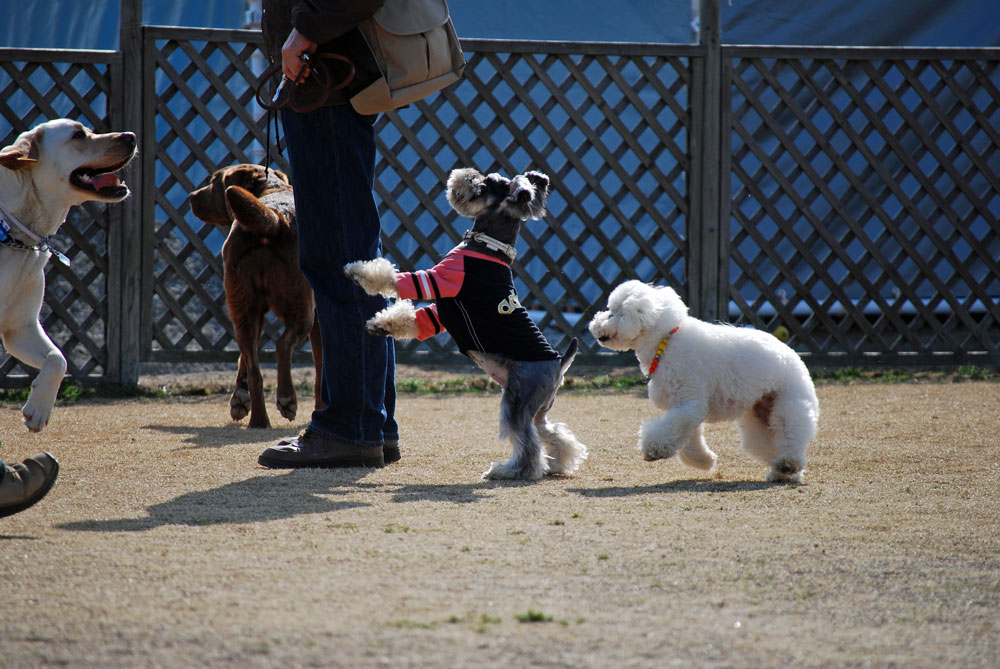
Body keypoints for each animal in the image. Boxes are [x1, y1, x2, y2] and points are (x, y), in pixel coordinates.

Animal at [0, 119, 136, 432]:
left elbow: (58, 359)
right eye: (78, 135)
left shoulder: (20, 328)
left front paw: (39, 408)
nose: (132, 136)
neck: (14, 236)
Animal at [188, 164, 323, 429]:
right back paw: (286, 399)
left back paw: (259, 421)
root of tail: (275, 217)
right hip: (301, 308)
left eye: (214, 181)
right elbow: (322, 371)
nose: (191, 196)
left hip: (242, 306)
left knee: (253, 368)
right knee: (283, 345)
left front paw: (240, 399)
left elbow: (244, 360)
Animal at [344, 168, 587, 480]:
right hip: (538, 408)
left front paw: (356, 271)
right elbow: (413, 318)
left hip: (517, 401)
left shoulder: (438, 280)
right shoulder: (439, 311)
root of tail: (559, 363)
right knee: (552, 433)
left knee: (527, 442)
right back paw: (559, 463)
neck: (488, 245)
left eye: (487, 184)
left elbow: (395, 278)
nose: (464, 175)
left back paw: (510, 470)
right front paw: (380, 325)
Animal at [589, 280, 819, 483]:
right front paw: (704, 461)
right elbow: (688, 438)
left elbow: (671, 429)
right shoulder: (683, 407)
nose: (594, 324)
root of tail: (793, 355)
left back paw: (788, 463)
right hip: (760, 414)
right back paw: (783, 474)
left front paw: (654, 450)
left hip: (788, 402)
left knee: (791, 434)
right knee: (770, 443)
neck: (665, 340)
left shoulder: (689, 402)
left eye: (613, 312)